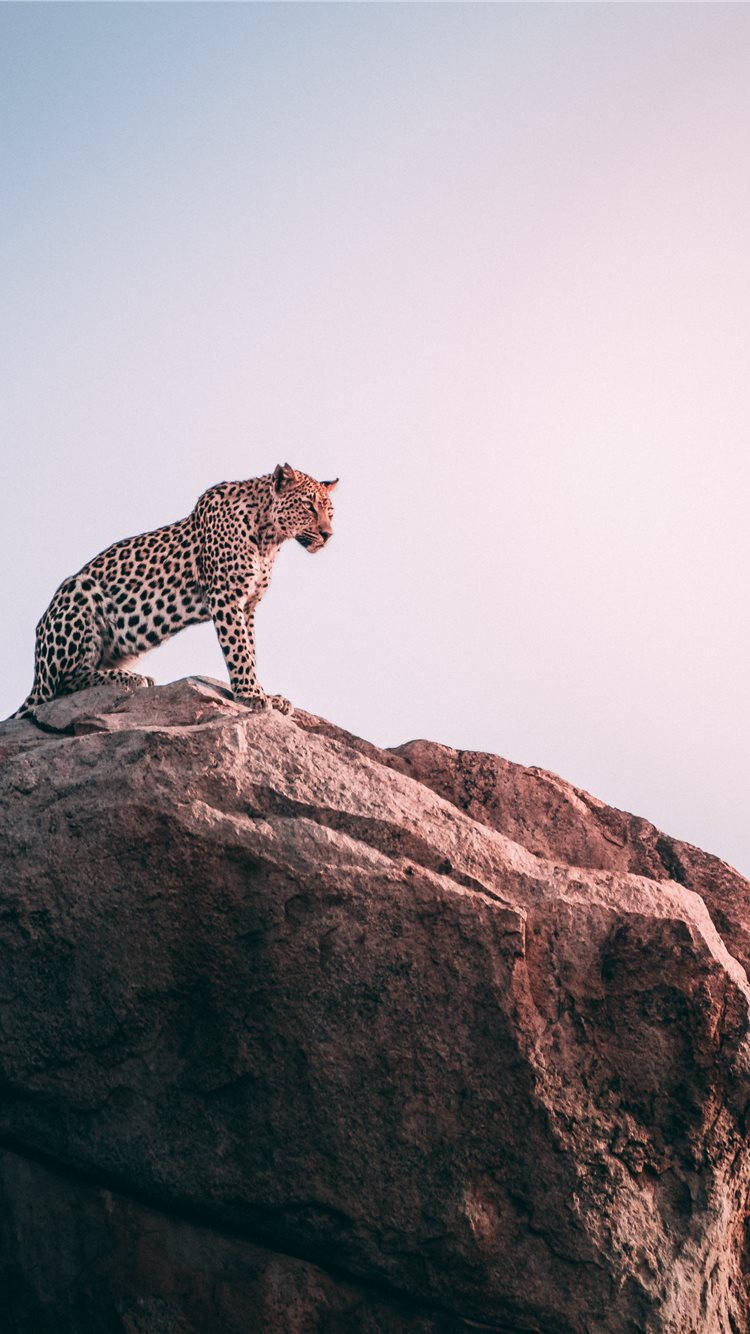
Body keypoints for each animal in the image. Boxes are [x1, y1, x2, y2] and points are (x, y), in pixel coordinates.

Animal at [12, 463, 337, 719]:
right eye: (308, 506)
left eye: (330, 512)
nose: (328, 534)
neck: (269, 537)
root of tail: (36, 676)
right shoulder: (226, 597)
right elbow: (239, 650)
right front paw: (251, 695)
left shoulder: (248, 606)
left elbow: (251, 650)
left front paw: (265, 693)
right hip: (79, 590)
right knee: (63, 684)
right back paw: (130, 678)